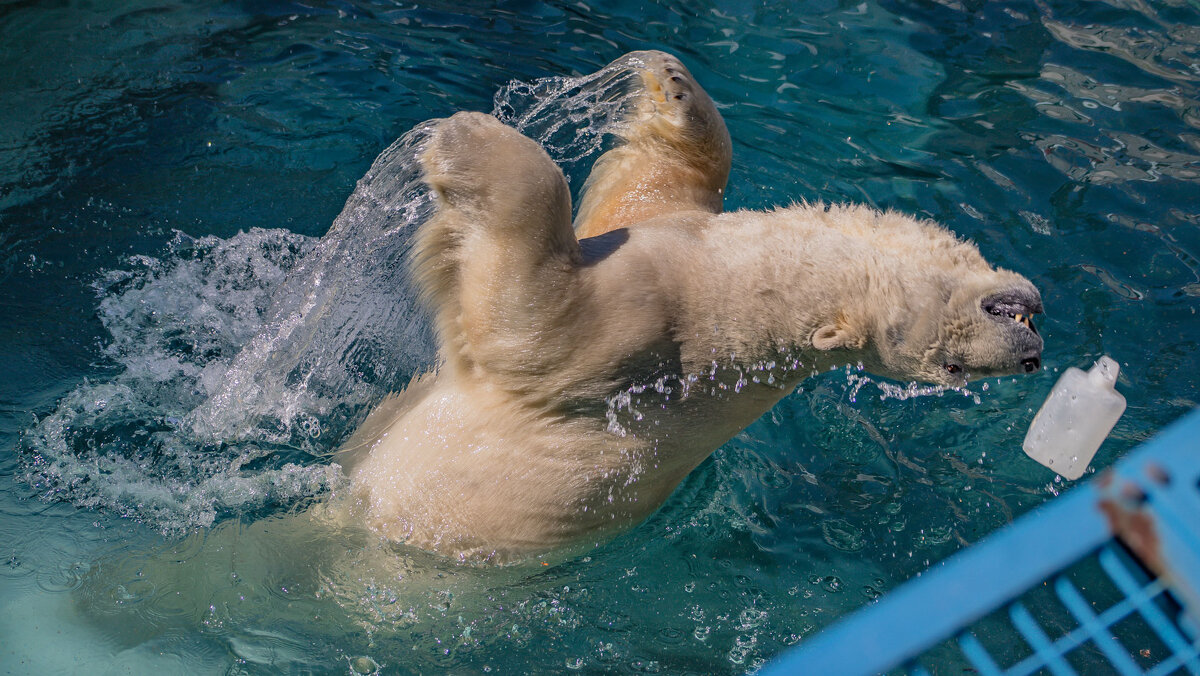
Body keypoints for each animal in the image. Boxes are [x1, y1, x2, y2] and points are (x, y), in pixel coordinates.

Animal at [338, 48, 1041, 566]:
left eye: (951, 369)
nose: (1031, 355)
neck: (739, 290)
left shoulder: (634, 344)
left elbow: (530, 322)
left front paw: (463, 141)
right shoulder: (667, 235)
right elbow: (651, 184)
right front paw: (671, 84)